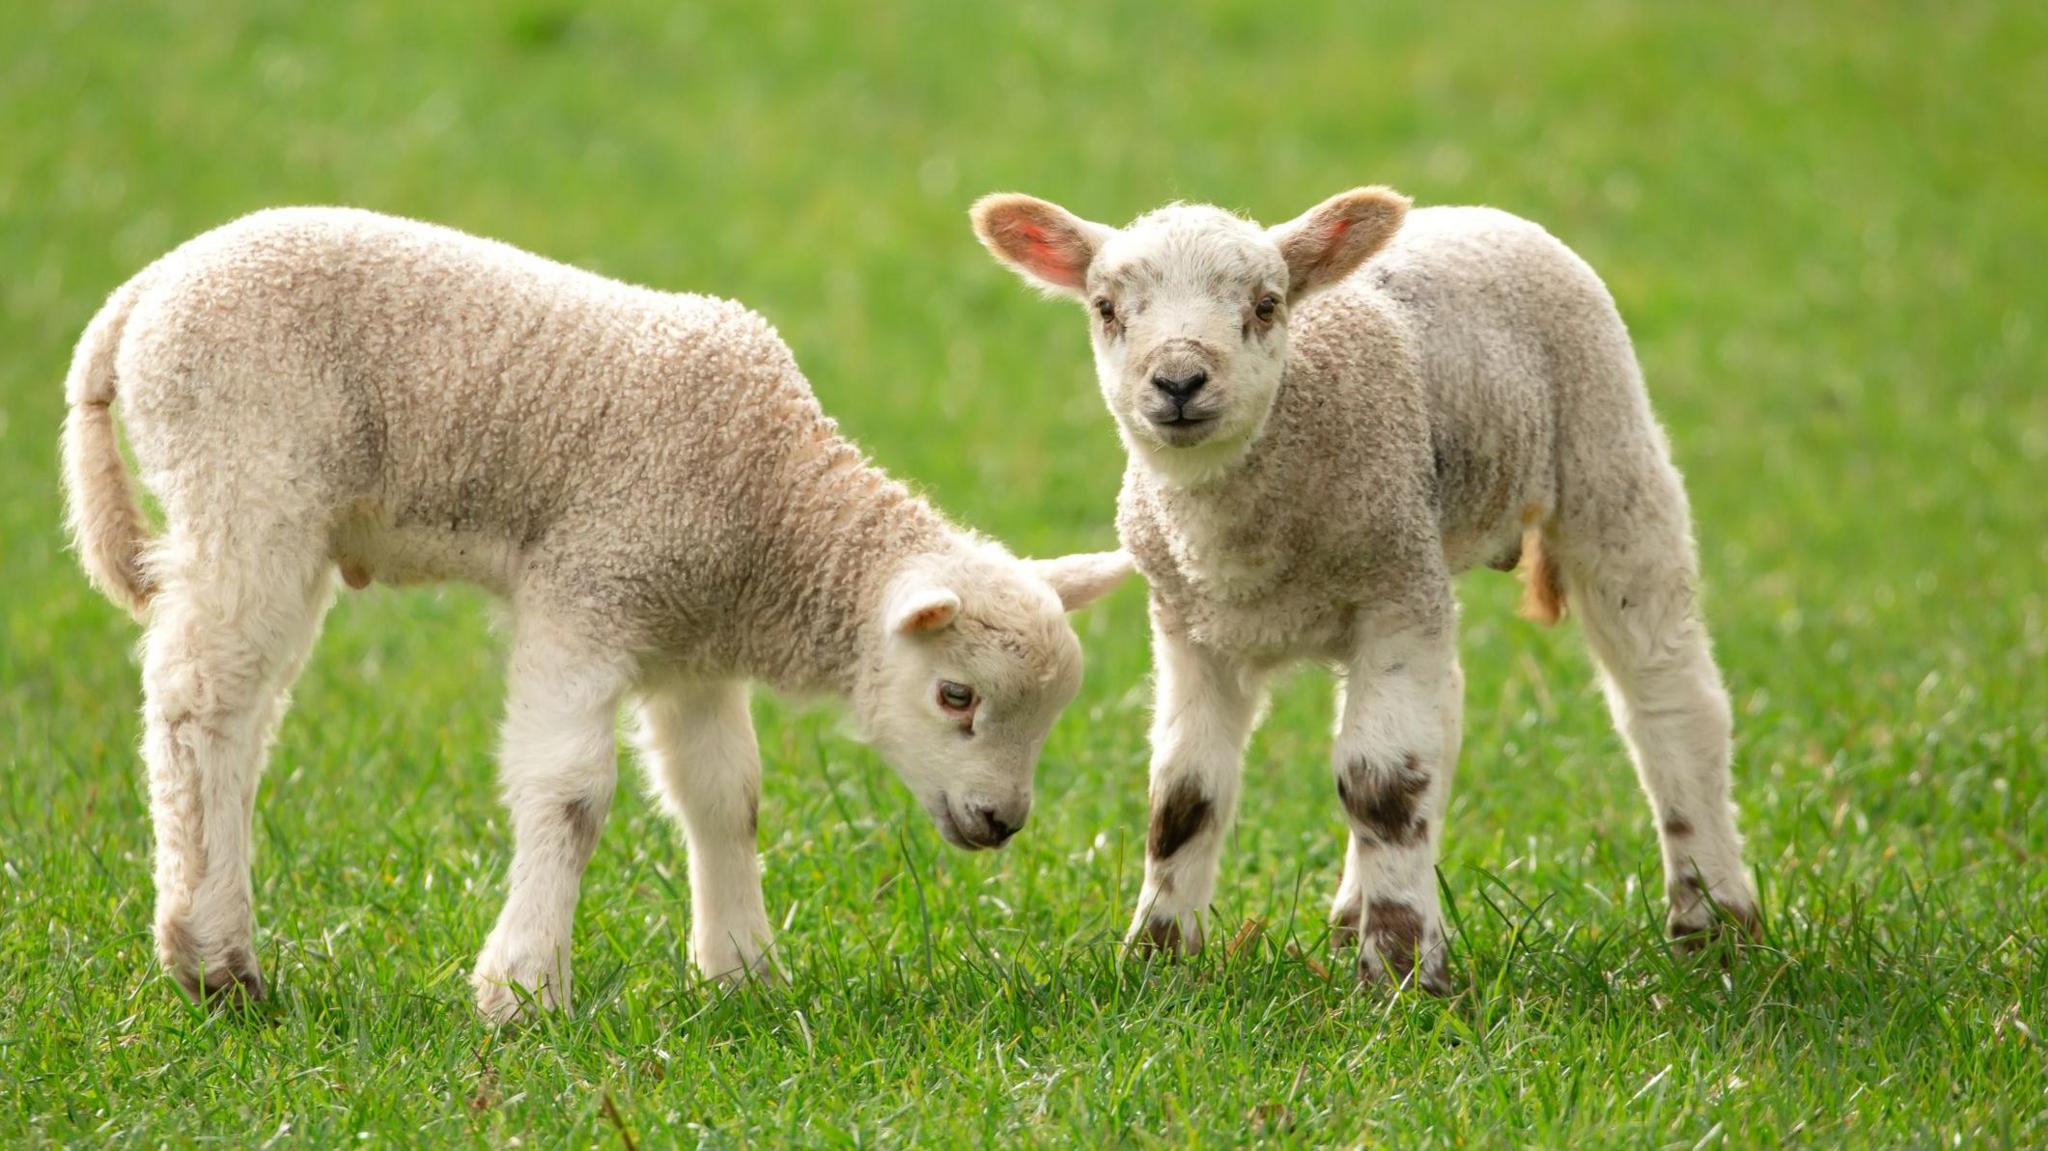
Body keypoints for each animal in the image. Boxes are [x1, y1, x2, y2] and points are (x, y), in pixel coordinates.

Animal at [59, 203, 1138, 1011]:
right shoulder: (589, 589)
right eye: (956, 695)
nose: (1000, 820)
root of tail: (141, 294)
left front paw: (742, 973)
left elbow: (726, 793)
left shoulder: (690, 639)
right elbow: (571, 793)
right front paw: (523, 989)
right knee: (206, 701)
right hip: (249, 477)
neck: (776, 515)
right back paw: (213, 957)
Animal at [970, 186, 1761, 987]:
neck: (1236, 544)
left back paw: (1716, 926)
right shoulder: (1190, 623)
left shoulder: (1392, 591)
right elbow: (1184, 793)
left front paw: (1403, 973)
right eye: (1105, 308)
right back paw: (1353, 914)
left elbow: (1379, 785)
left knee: (1669, 698)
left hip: (1605, 453)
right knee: (1444, 716)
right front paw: (1158, 960)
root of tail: (1477, 211)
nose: (1180, 382)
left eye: (1266, 305)